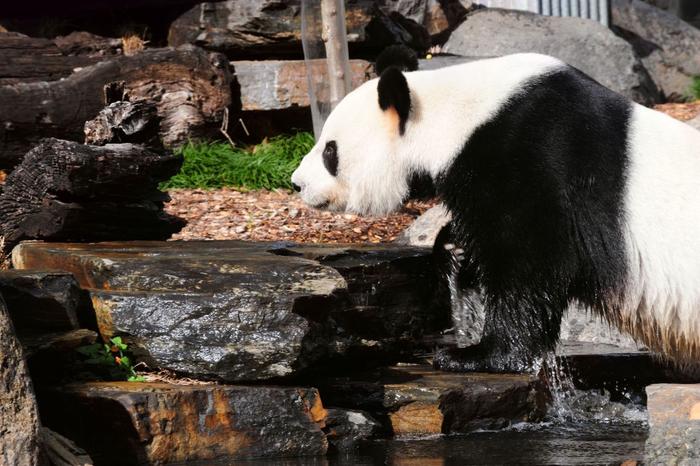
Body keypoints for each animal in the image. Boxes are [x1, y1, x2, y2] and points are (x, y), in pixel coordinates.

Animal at [292, 47, 700, 374]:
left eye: (330, 150)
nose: (298, 183)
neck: (452, 115)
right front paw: (453, 250)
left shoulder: (533, 158)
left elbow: (527, 263)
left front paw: (478, 356)